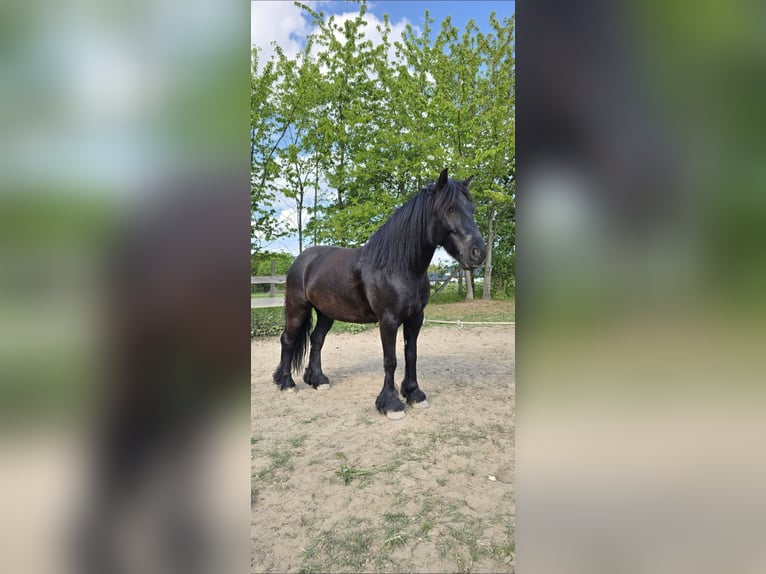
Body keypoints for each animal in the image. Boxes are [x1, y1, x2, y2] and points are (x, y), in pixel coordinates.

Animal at [273, 168, 487, 420]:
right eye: (451, 208)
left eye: (471, 209)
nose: (478, 252)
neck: (398, 267)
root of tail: (303, 260)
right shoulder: (388, 320)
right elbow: (390, 360)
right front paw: (391, 404)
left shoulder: (416, 318)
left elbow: (411, 354)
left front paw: (414, 395)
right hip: (297, 308)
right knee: (287, 340)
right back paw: (286, 383)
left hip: (326, 313)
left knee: (316, 340)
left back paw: (318, 380)